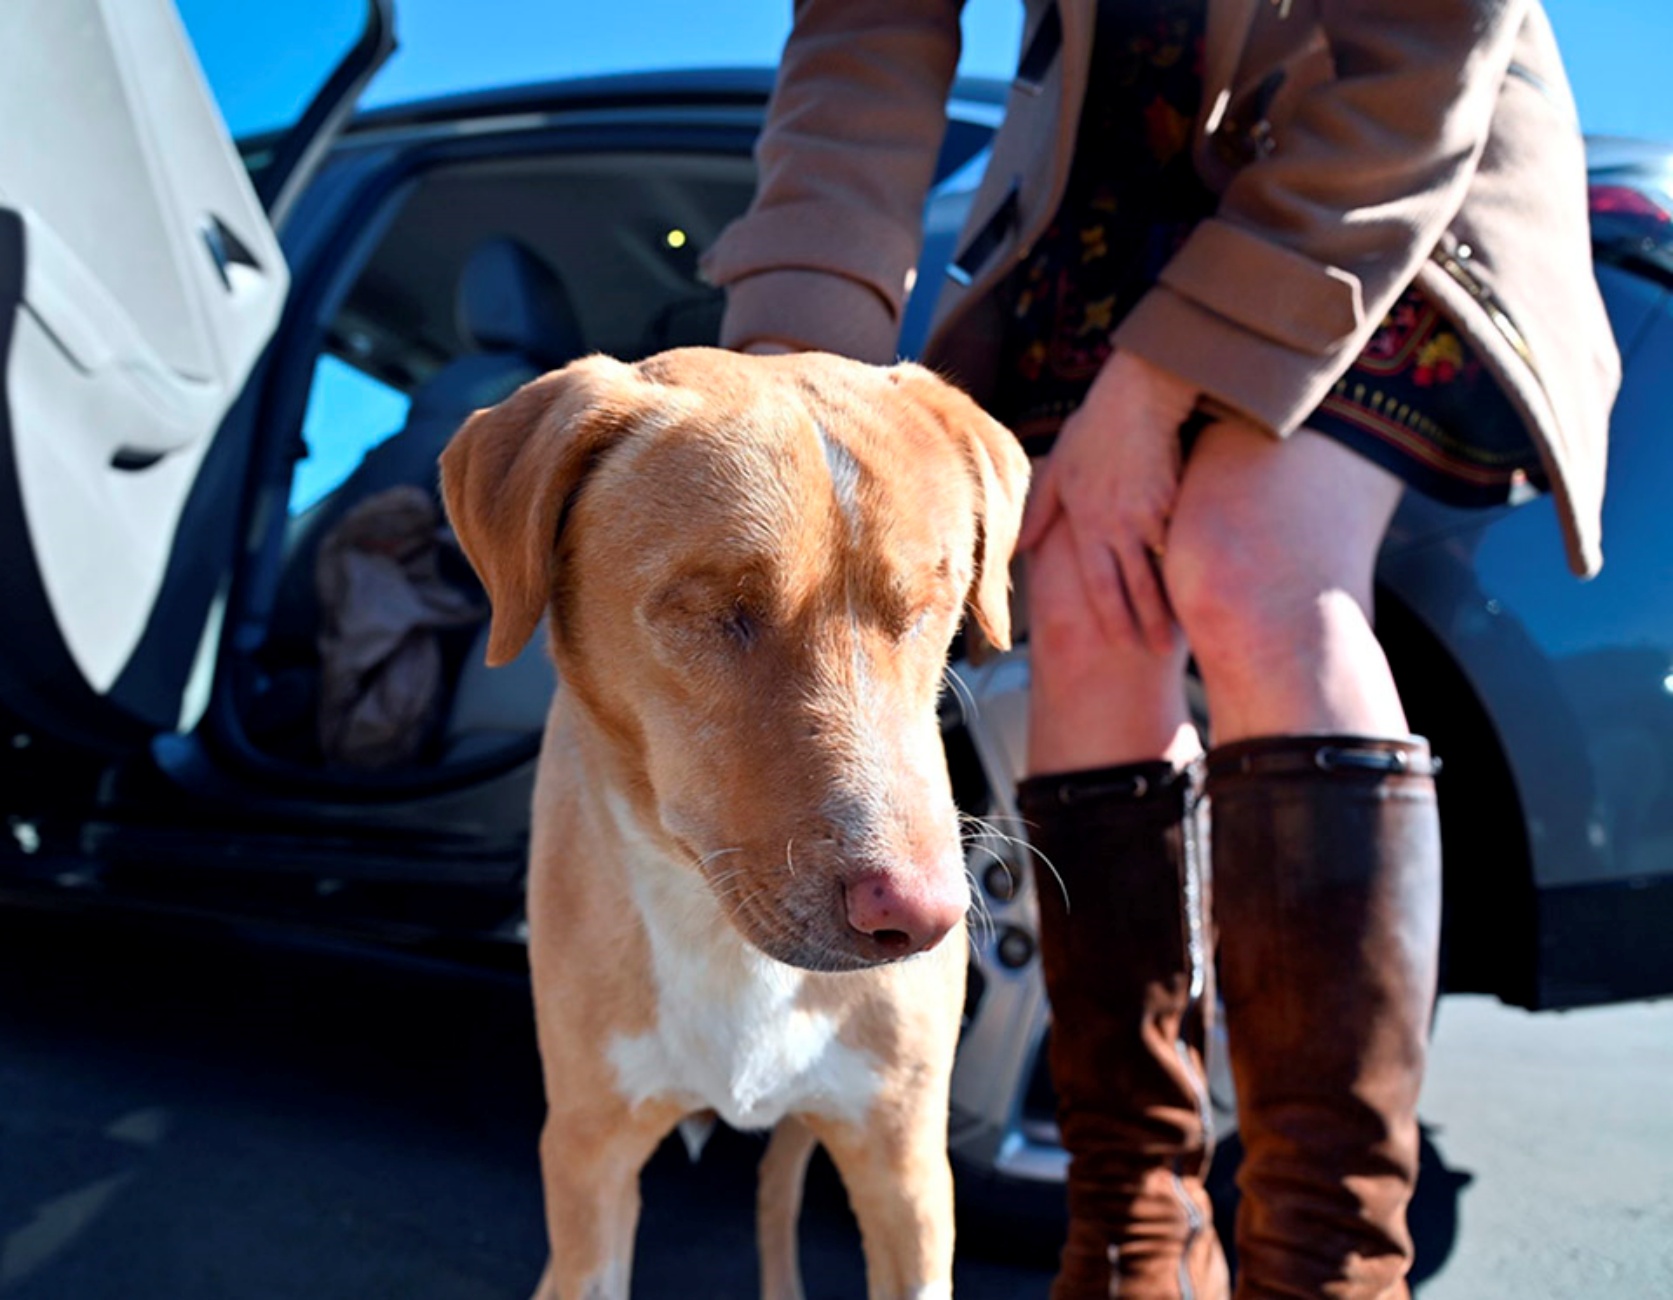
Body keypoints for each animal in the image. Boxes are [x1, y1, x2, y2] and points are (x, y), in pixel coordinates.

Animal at [438, 348, 1023, 1298]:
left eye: (929, 609)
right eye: (713, 611)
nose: (924, 918)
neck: (714, 930)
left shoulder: (906, 1171)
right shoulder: (588, 1156)